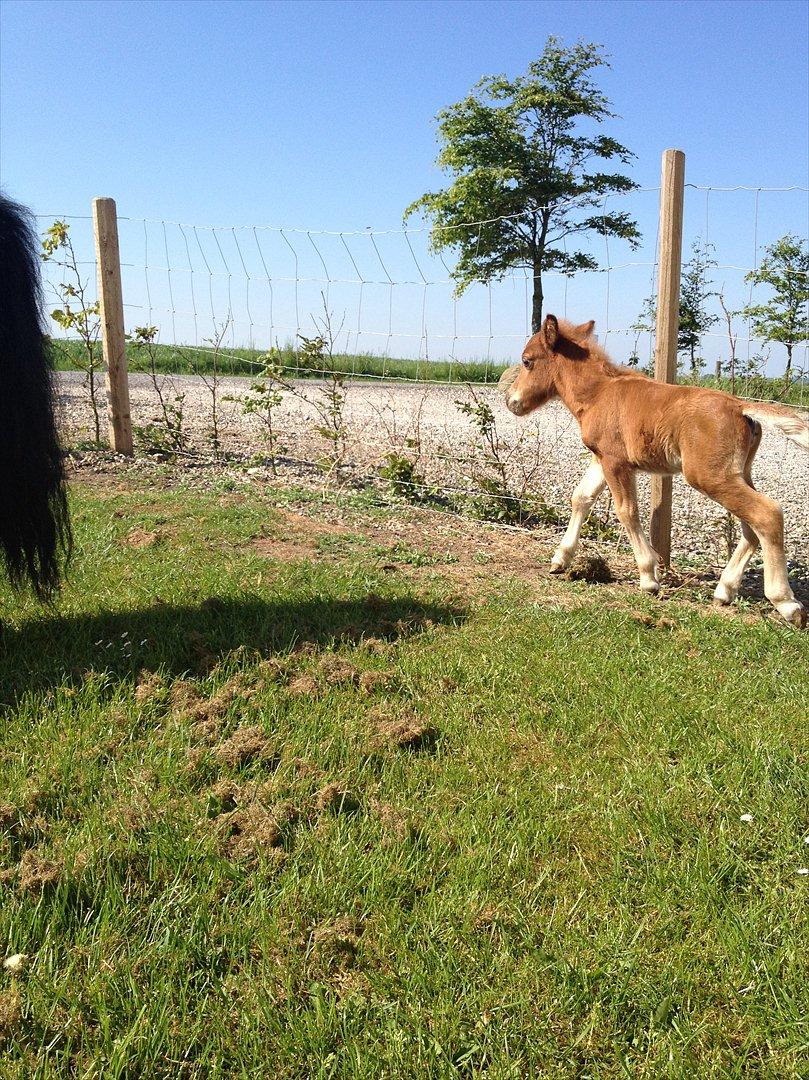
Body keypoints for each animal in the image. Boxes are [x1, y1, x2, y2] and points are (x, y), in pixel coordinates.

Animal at [505, 313, 807, 630]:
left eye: (527, 361)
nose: (511, 401)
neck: (598, 394)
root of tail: (741, 406)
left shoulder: (616, 462)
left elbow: (627, 511)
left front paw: (649, 577)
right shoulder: (601, 458)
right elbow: (581, 498)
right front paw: (560, 559)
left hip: (710, 476)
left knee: (767, 513)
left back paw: (787, 604)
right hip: (737, 473)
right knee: (751, 527)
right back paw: (724, 591)